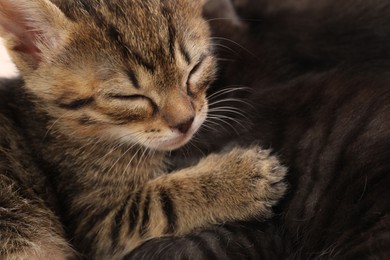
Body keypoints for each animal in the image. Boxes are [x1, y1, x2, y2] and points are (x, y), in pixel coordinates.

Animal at [0, 0, 286, 258]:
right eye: (128, 97)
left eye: (194, 69)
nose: (185, 122)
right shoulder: (93, 225)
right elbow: (156, 204)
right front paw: (239, 179)